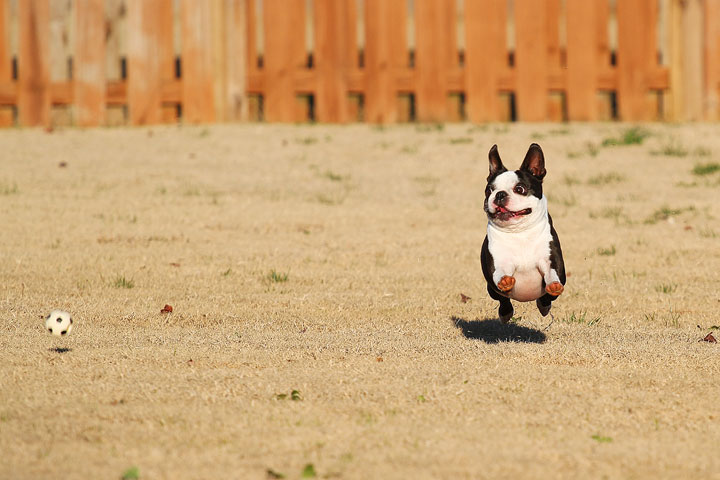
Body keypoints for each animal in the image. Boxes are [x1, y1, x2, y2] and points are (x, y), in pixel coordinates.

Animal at [480, 142, 564, 322]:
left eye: (520, 188)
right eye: (489, 190)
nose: (499, 195)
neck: (520, 233)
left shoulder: (550, 260)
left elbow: (552, 274)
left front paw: (553, 284)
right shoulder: (499, 262)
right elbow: (500, 274)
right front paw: (505, 281)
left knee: (546, 298)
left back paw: (544, 306)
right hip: (491, 290)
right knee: (503, 300)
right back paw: (505, 314)